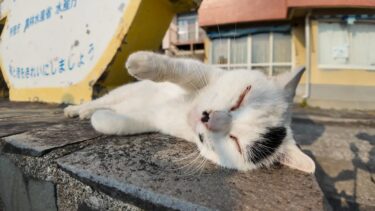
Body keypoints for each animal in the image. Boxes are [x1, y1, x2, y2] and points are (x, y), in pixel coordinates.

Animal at [65, 51, 318, 173]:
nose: (208, 117)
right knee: (102, 100)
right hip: (125, 90)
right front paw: (141, 63)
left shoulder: (152, 120)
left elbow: (118, 124)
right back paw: (77, 110)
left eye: (235, 141)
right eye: (241, 98)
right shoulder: (206, 74)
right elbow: (183, 69)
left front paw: (102, 119)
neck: (185, 110)